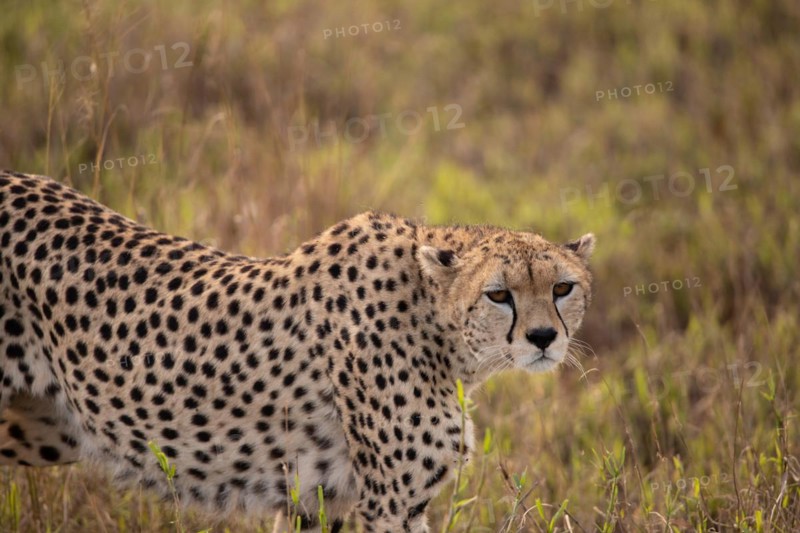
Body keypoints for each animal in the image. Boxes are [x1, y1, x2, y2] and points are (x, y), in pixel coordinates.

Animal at [0, 170, 595, 531]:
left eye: (562, 288)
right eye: (499, 295)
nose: (544, 338)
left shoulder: (324, 501)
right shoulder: (389, 506)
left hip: (43, 428)